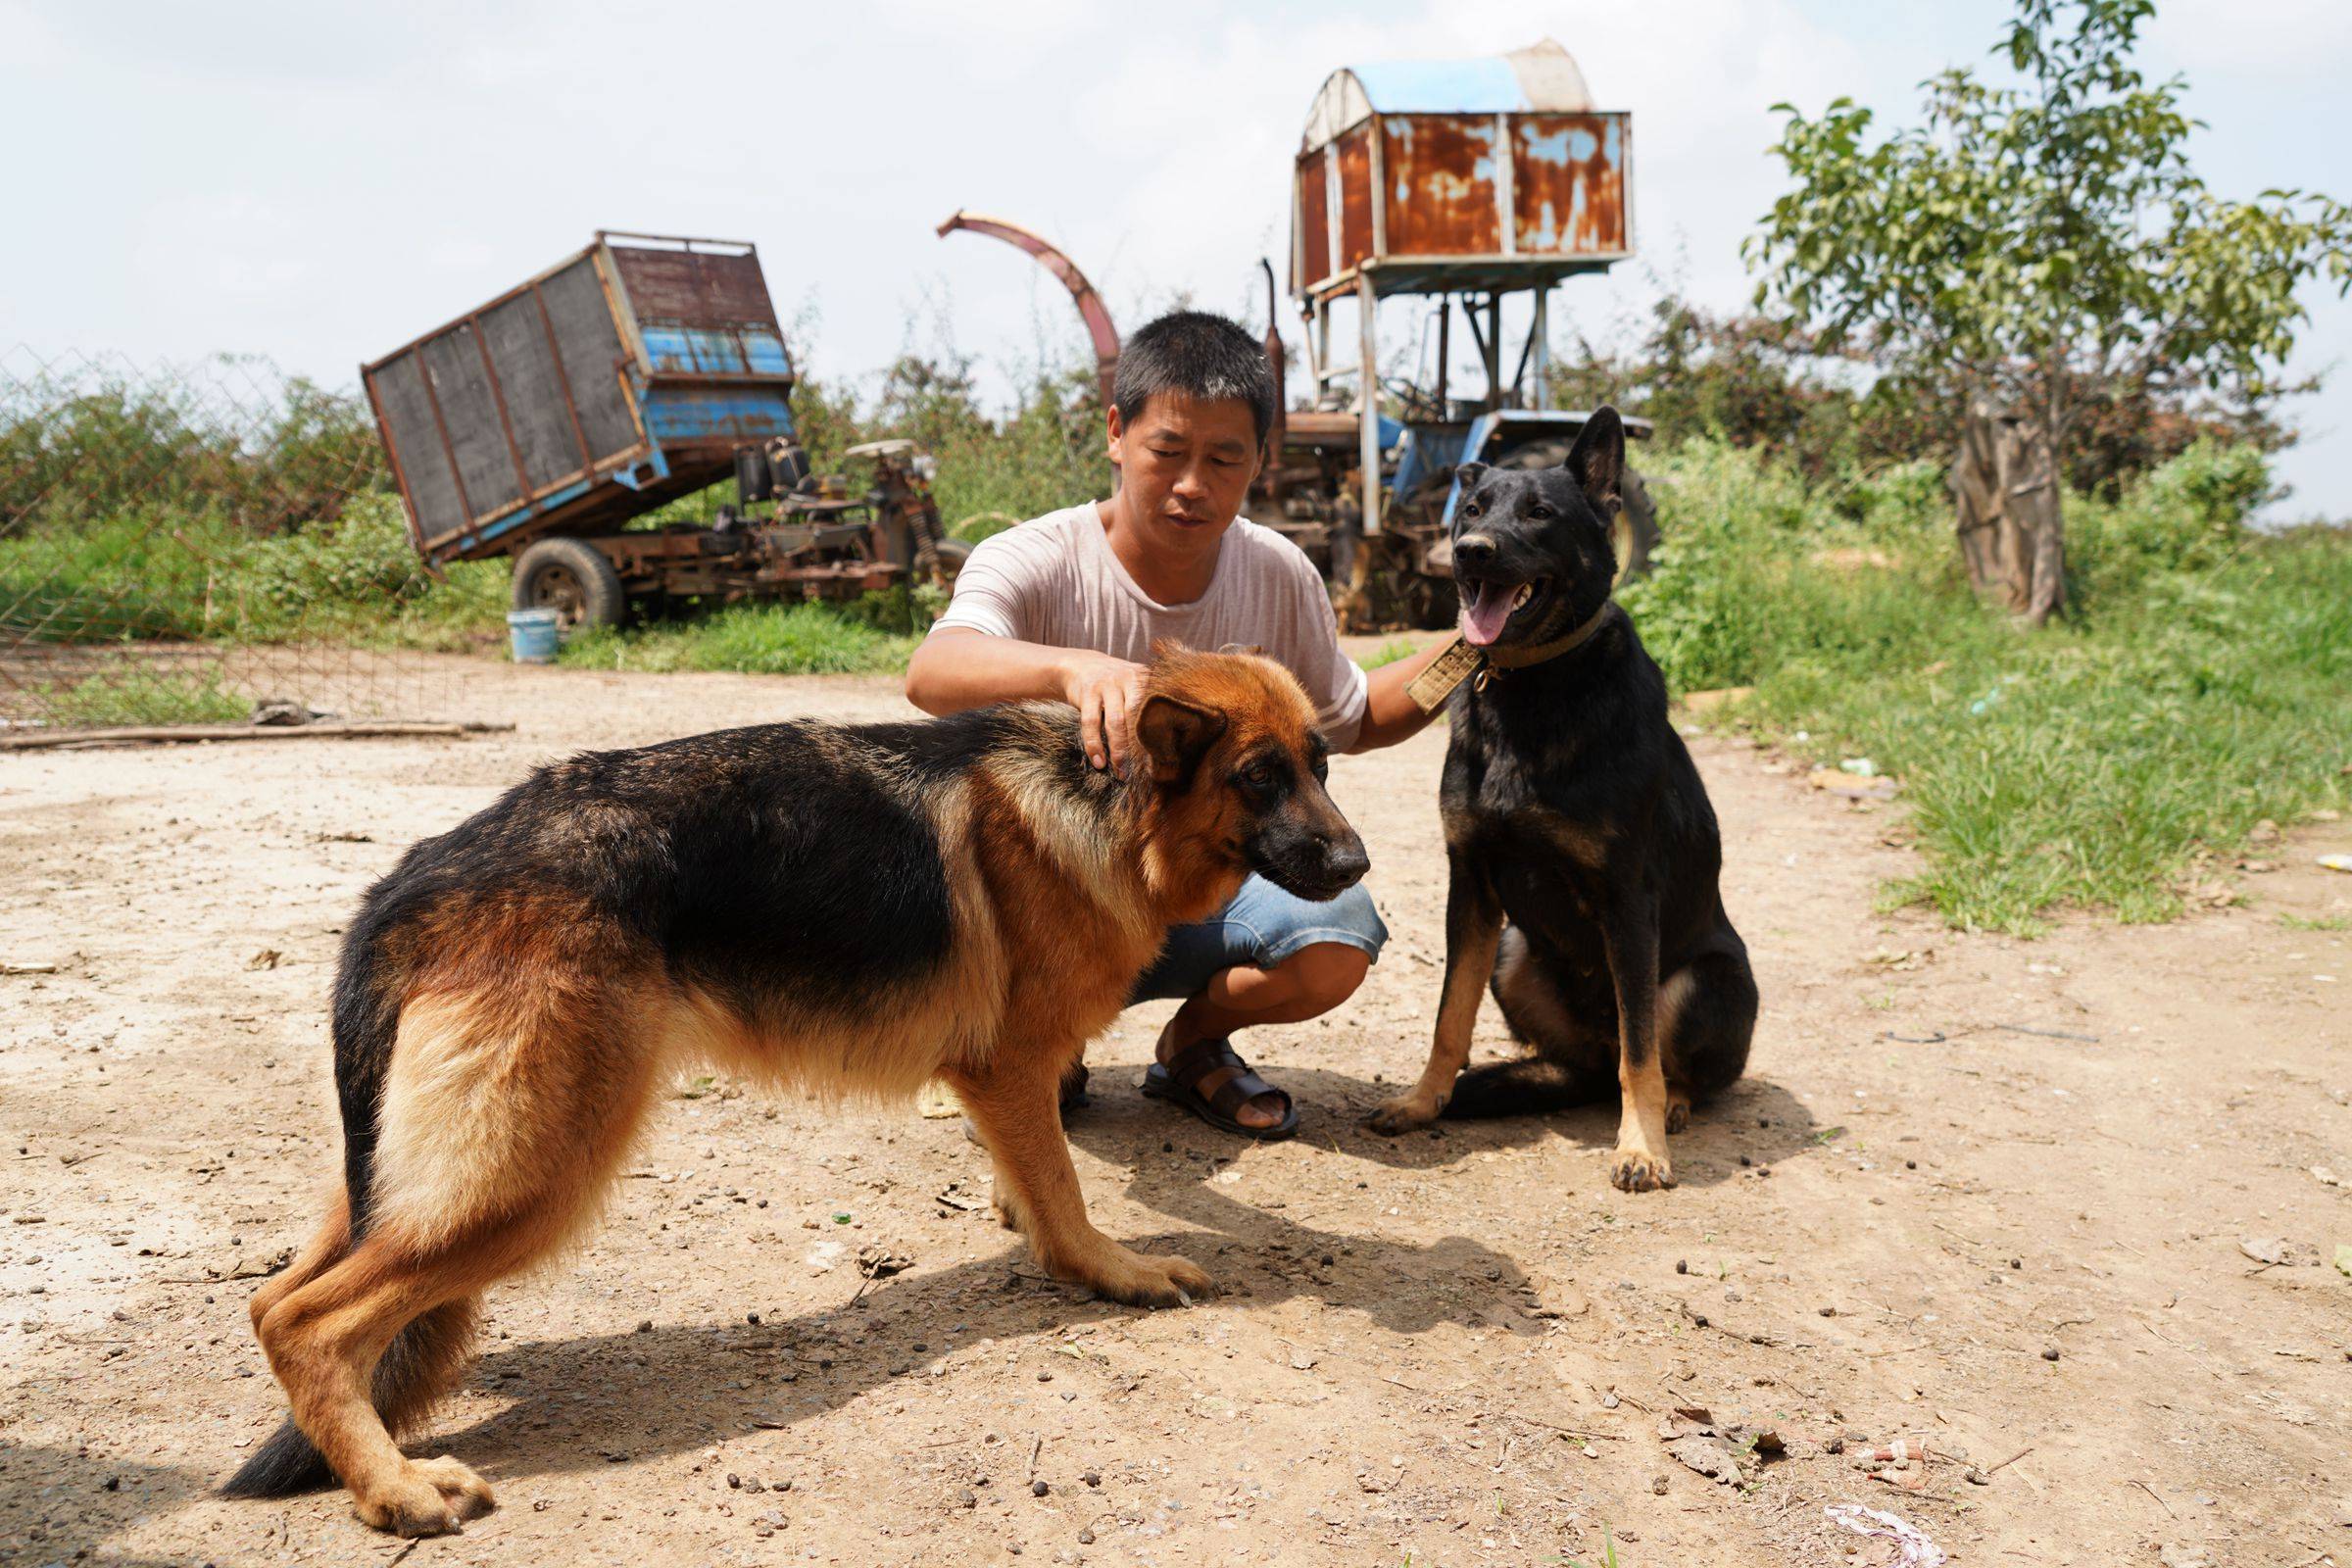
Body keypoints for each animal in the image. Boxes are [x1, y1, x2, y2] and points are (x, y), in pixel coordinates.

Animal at [229, 649, 1373, 1533]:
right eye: (1259, 777)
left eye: (1321, 767)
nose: (1359, 862)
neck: (1109, 802)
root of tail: (417, 877)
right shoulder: (1007, 1065)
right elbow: (1069, 1190)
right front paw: (1109, 1269)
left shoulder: (1013, 1083)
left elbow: (1039, 1173)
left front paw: (1025, 1218)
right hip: (528, 1177)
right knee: (306, 1322)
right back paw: (392, 1488)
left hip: (411, 1177)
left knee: (277, 1294)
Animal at [1373, 404, 1759, 1189]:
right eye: (1472, 510)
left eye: (1541, 513)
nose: (1470, 553)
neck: (1530, 683)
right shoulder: (1472, 885)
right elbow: (1448, 1015)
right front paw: (1424, 1100)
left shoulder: (1627, 899)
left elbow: (1640, 1052)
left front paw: (1640, 1147)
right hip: (1513, 950)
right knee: (1583, 1067)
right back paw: (1522, 1078)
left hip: (1706, 979)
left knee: (1658, 1060)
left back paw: (1672, 1106)